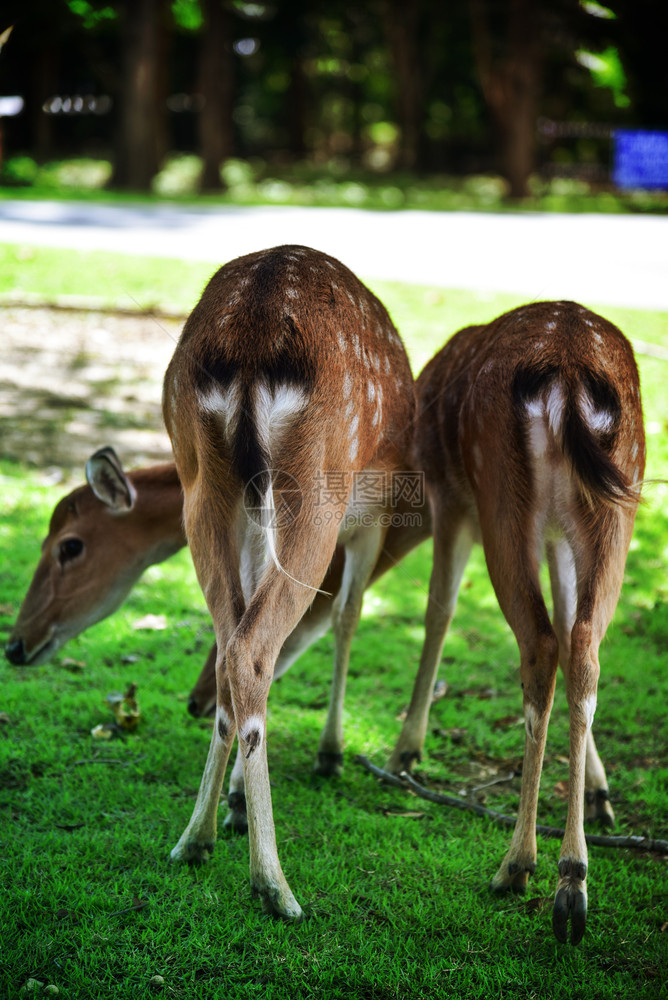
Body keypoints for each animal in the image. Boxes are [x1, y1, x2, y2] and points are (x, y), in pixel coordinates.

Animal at [160, 240, 418, 916]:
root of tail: (251, 338)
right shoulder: (373, 518)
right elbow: (350, 615)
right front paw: (331, 752)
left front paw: (232, 804)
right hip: (317, 486)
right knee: (253, 646)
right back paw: (273, 883)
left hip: (204, 485)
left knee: (232, 639)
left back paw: (193, 840)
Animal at [386, 300, 648, 940]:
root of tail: (571, 373)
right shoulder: (556, 538)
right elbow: (571, 621)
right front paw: (601, 790)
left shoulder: (449, 499)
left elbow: (439, 610)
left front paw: (406, 750)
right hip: (613, 509)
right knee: (583, 646)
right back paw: (573, 875)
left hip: (500, 497)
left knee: (541, 646)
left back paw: (521, 867)